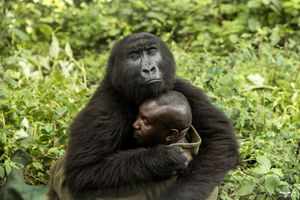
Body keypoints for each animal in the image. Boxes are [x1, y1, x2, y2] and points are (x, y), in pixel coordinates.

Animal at [65, 32, 239, 200]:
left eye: (152, 52)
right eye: (135, 57)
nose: (149, 69)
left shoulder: (184, 88)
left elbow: (220, 137)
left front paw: (180, 194)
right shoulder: (104, 107)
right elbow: (84, 172)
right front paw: (163, 159)